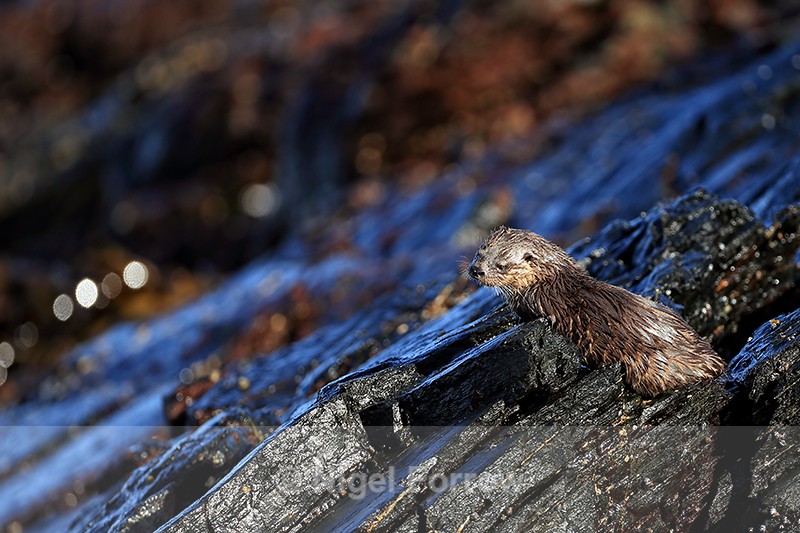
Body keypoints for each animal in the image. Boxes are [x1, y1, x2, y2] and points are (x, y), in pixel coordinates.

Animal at [467, 226, 725, 396]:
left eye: (502, 265)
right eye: (480, 251)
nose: (476, 270)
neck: (549, 280)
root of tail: (714, 361)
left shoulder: (533, 302)